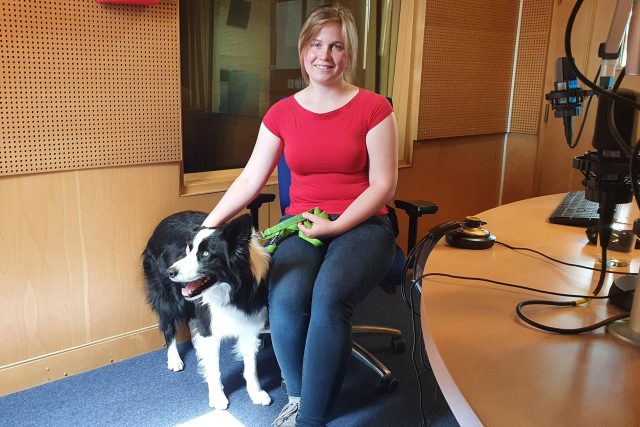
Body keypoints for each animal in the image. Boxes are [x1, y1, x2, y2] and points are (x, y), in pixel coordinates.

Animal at [142, 211, 271, 410]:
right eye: (189, 250)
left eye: (206, 253)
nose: (170, 271)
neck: (231, 290)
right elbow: (214, 368)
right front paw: (218, 397)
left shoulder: (250, 324)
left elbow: (251, 367)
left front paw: (256, 393)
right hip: (168, 297)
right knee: (168, 325)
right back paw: (174, 359)